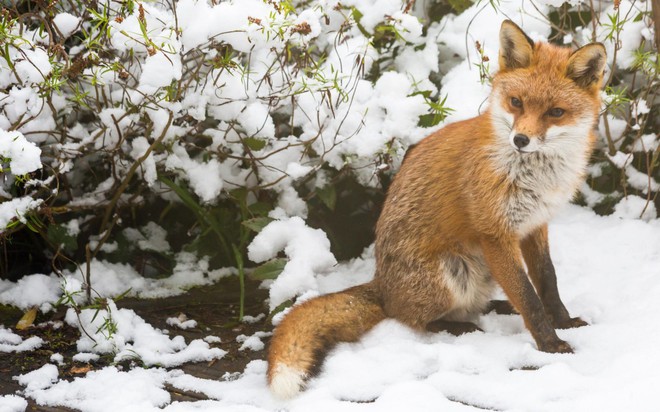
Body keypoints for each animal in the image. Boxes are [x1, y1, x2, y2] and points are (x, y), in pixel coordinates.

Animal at [266, 20, 604, 400]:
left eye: (555, 112)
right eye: (516, 102)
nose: (521, 140)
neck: (535, 176)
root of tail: (381, 284)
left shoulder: (534, 224)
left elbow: (546, 281)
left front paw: (563, 321)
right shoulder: (495, 233)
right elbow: (528, 296)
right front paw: (550, 344)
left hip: (480, 271)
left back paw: (495, 307)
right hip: (452, 273)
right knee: (410, 317)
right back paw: (459, 325)